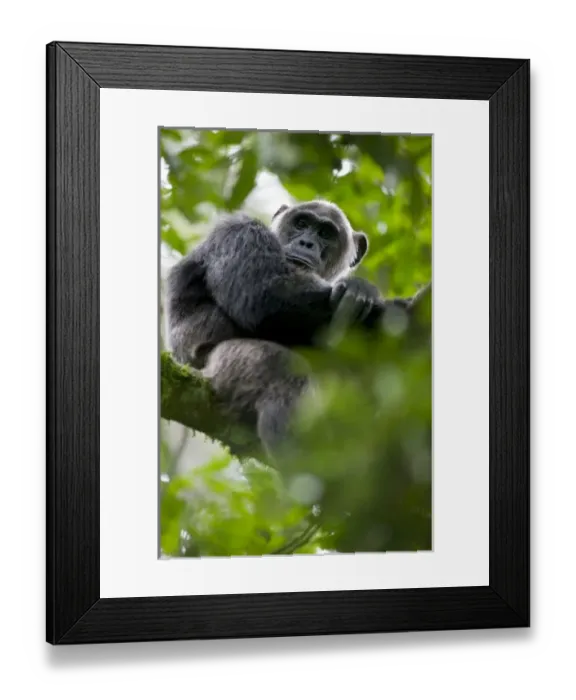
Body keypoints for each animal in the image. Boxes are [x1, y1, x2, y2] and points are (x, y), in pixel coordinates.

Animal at [165, 200, 412, 462]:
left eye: (325, 233)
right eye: (301, 223)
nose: (306, 243)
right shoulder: (240, 232)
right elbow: (263, 293)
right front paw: (383, 302)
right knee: (281, 370)